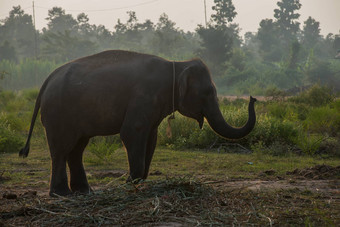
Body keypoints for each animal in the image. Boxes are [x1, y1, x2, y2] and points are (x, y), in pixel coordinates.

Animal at [19, 50, 256, 196]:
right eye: (208, 92)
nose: (253, 98)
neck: (176, 64)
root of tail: (47, 80)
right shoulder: (144, 96)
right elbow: (132, 132)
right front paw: (129, 182)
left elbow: (151, 137)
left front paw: (139, 182)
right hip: (58, 112)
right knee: (62, 148)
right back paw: (62, 194)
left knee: (76, 148)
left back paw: (84, 192)